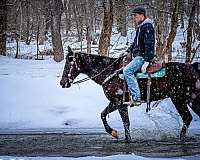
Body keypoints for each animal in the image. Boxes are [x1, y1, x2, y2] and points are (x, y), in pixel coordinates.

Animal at [59, 47, 200, 142]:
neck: (110, 72)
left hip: (188, 99)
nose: (62, 83)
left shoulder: (120, 104)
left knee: (188, 117)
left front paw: (126, 139)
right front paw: (113, 133)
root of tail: (193, 67)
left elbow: (126, 123)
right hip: (181, 99)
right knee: (187, 118)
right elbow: (103, 114)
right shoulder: (115, 102)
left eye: (69, 63)